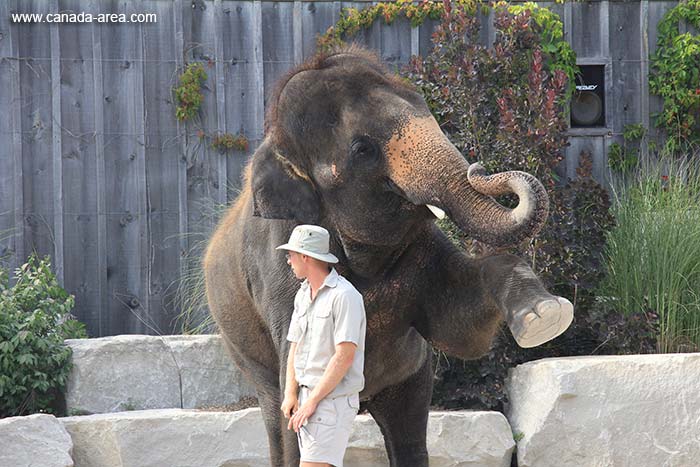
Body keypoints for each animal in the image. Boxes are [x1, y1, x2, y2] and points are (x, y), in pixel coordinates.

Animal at [201, 44, 568, 467]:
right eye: (363, 149)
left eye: (424, 105)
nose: (479, 167)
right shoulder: (277, 274)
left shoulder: (423, 253)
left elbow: (462, 331)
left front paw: (545, 317)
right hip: (247, 356)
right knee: (279, 423)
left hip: (409, 379)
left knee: (408, 435)